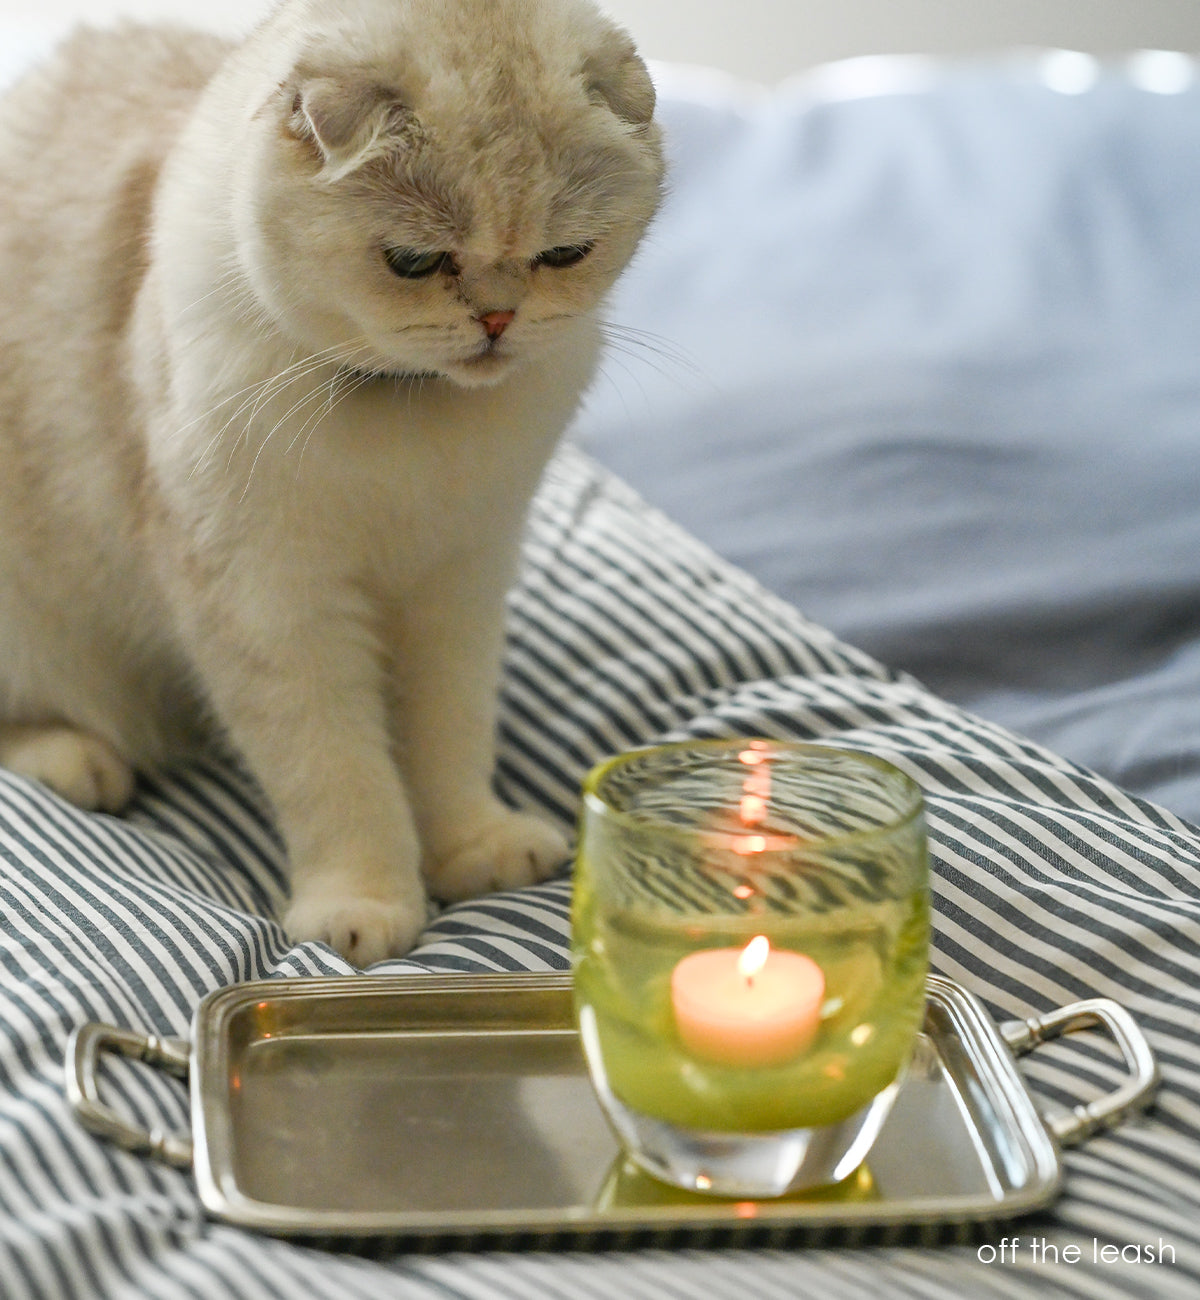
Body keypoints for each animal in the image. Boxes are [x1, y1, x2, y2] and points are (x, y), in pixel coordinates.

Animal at [0, 0, 660, 967]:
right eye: (415, 263)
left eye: (564, 253)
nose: (498, 320)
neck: (409, 415)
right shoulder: (275, 609)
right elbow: (340, 773)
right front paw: (365, 905)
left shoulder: (457, 588)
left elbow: (449, 739)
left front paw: (472, 848)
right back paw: (78, 761)